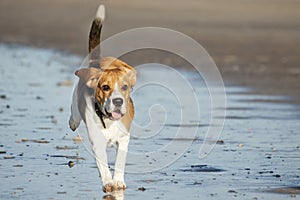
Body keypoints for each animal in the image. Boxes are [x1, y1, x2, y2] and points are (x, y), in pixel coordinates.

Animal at [69, 4, 136, 192]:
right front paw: (108, 182)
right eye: (105, 87)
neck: (108, 120)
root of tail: (95, 63)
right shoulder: (98, 144)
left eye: (125, 87)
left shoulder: (124, 139)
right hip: (76, 106)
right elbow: (104, 166)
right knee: (74, 115)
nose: (118, 101)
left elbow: (119, 162)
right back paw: (72, 121)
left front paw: (118, 180)